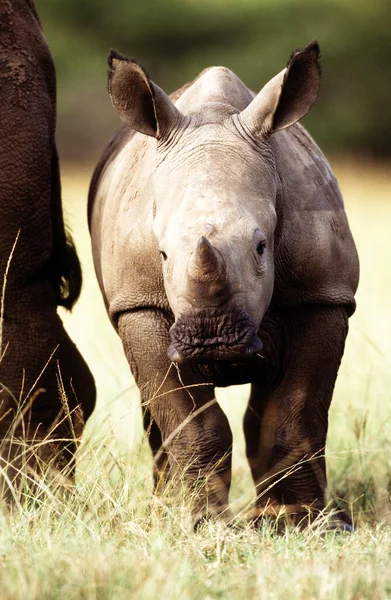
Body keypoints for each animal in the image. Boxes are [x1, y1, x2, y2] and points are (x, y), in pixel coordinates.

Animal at [90, 41, 360, 528]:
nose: (210, 340)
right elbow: (191, 423)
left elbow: (295, 415)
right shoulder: (138, 304)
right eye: (161, 254)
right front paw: (202, 524)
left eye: (261, 247)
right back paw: (163, 509)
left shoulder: (323, 296)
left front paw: (299, 523)